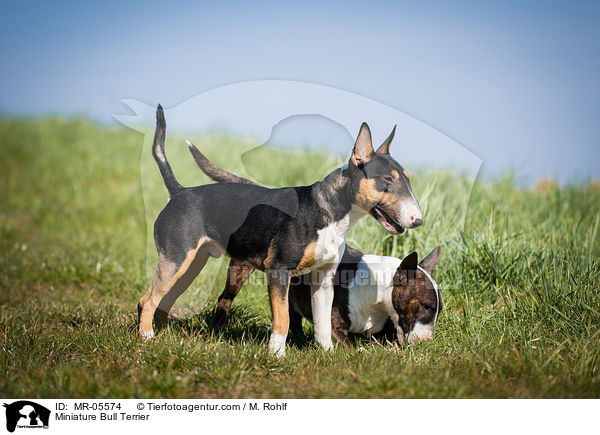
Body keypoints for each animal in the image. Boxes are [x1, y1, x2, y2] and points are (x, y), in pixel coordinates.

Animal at [139, 106, 422, 358]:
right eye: (388, 180)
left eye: (408, 179)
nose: (418, 220)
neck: (328, 210)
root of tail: (178, 192)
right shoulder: (279, 270)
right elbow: (283, 319)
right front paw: (276, 355)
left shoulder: (323, 278)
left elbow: (323, 323)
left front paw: (327, 354)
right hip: (176, 260)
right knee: (148, 299)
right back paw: (147, 339)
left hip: (192, 264)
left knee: (165, 300)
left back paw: (163, 336)